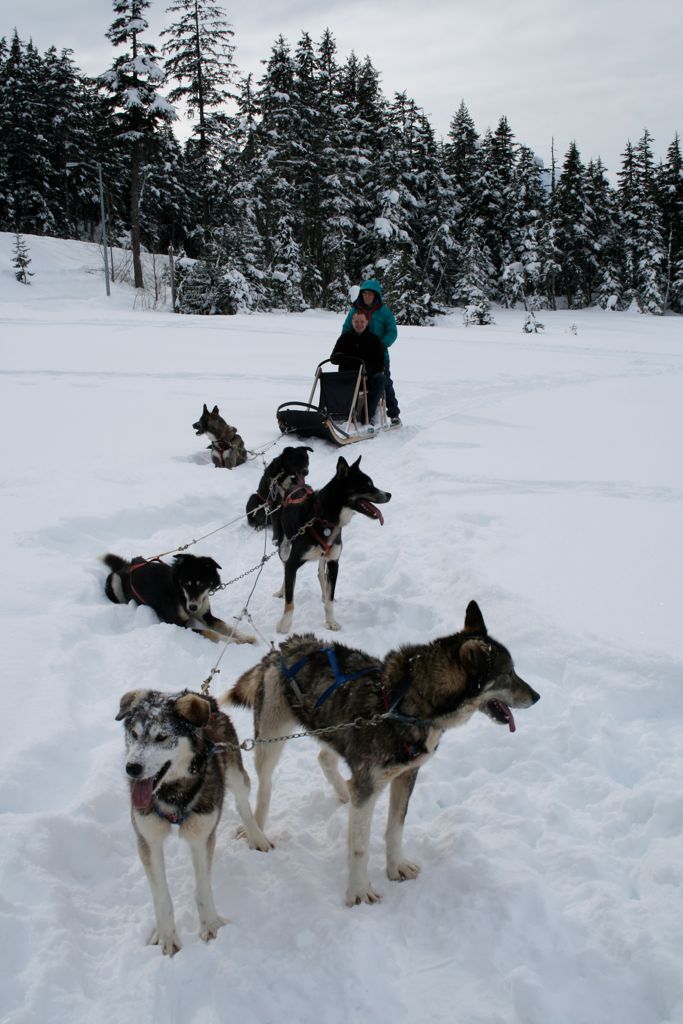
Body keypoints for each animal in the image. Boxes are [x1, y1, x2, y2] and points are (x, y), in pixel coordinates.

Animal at [104, 557, 255, 643]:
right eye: (186, 584)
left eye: (202, 584)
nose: (193, 607)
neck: (180, 594)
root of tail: (128, 566)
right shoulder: (179, 624)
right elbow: (211, 632)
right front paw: (233, 641)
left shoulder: (206, 615)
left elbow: (227, 627)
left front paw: (246, 637)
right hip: (115, 581)